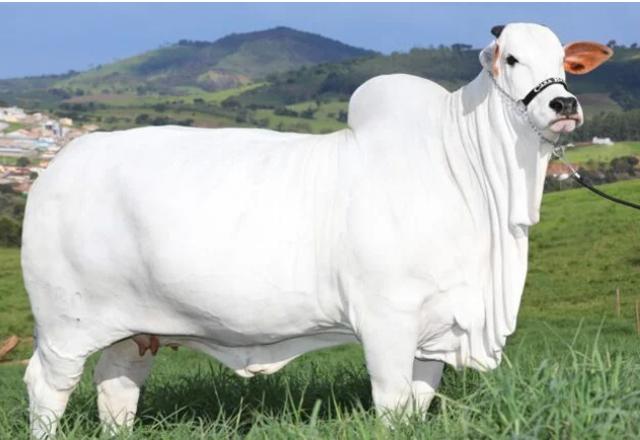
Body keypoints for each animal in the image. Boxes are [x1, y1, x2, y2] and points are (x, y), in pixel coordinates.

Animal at [22, 23, 612, 437]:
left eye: (565, 64)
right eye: (511, 58)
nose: (564, 104)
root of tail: (58, 165)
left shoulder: (435, 331)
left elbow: (418, 405)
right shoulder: (387, 322)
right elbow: (393, 405)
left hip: (135, 330)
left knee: (116, 387)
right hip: (65, 326)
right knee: (46, 387)